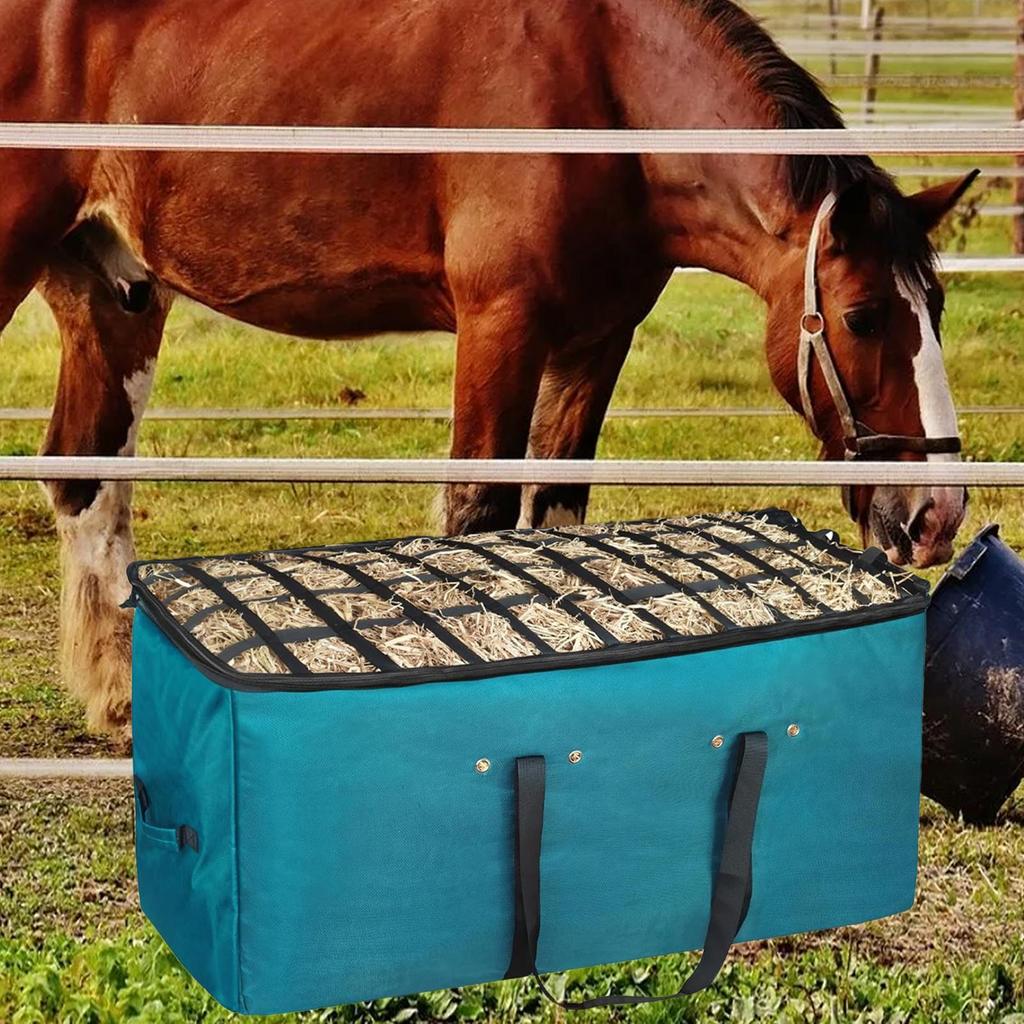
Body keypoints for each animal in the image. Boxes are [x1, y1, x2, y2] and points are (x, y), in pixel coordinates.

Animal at [0, 0, 973, 740]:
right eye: (862, 316)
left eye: (938, 307)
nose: (937, 514)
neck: (608, 98)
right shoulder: (501, 327)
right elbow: (479, 517)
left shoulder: (593, 342)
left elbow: (555, 517)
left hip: (116, 293)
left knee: (87, 477)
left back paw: (125, 699)